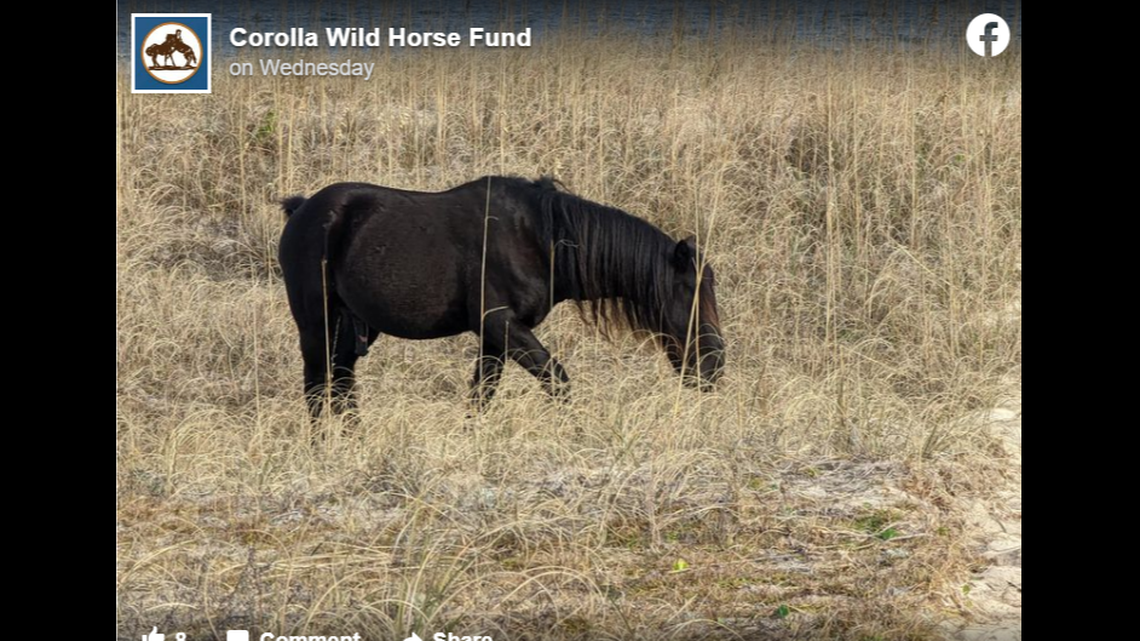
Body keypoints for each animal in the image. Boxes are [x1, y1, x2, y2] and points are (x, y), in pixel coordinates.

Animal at [277, 176, 725, 419]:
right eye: (690, 291)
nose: (714, 367)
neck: (540, 238)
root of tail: (302, 210)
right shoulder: (500, 324)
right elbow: (557, 379)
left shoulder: (496, 336)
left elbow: (481, 396)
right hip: (316, 322)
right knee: (317, 386)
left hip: (354, 327)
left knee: (341, 382)